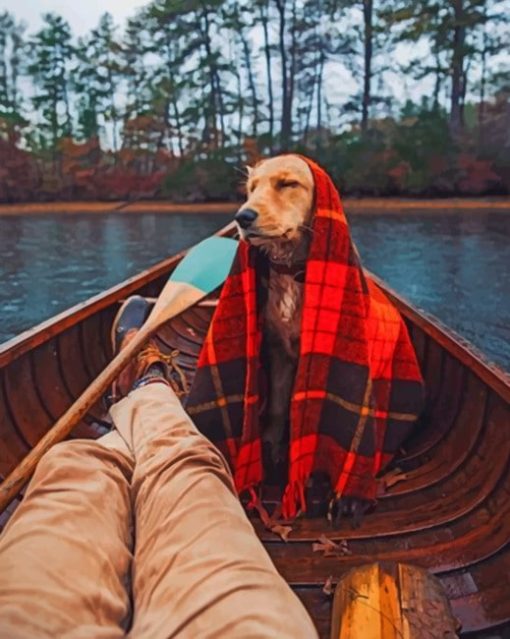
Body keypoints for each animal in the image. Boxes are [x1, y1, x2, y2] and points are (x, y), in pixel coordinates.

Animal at [235, 156, 314, 470]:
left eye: (288, 183)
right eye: (251, 188)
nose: (242, 217)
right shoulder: (279, 351)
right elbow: (279, 406)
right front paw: (271, 444)